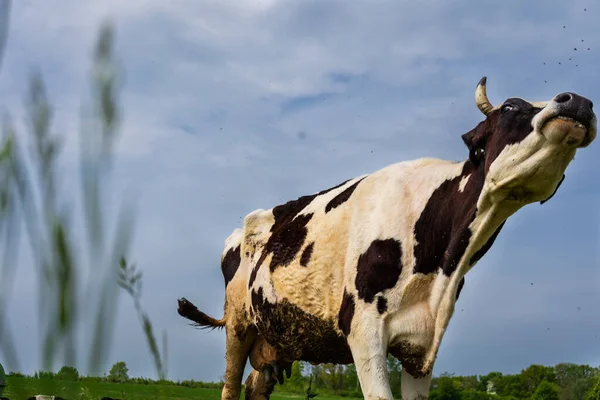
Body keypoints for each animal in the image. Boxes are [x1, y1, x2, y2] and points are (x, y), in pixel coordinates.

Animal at [177, 78, 596, 400]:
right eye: (510, 106)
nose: (578, 100)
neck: (441, 264)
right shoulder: (364, 329)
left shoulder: (422, 344)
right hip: (239, 323)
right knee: (230, 387)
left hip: (275, 338)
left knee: (256, 386)